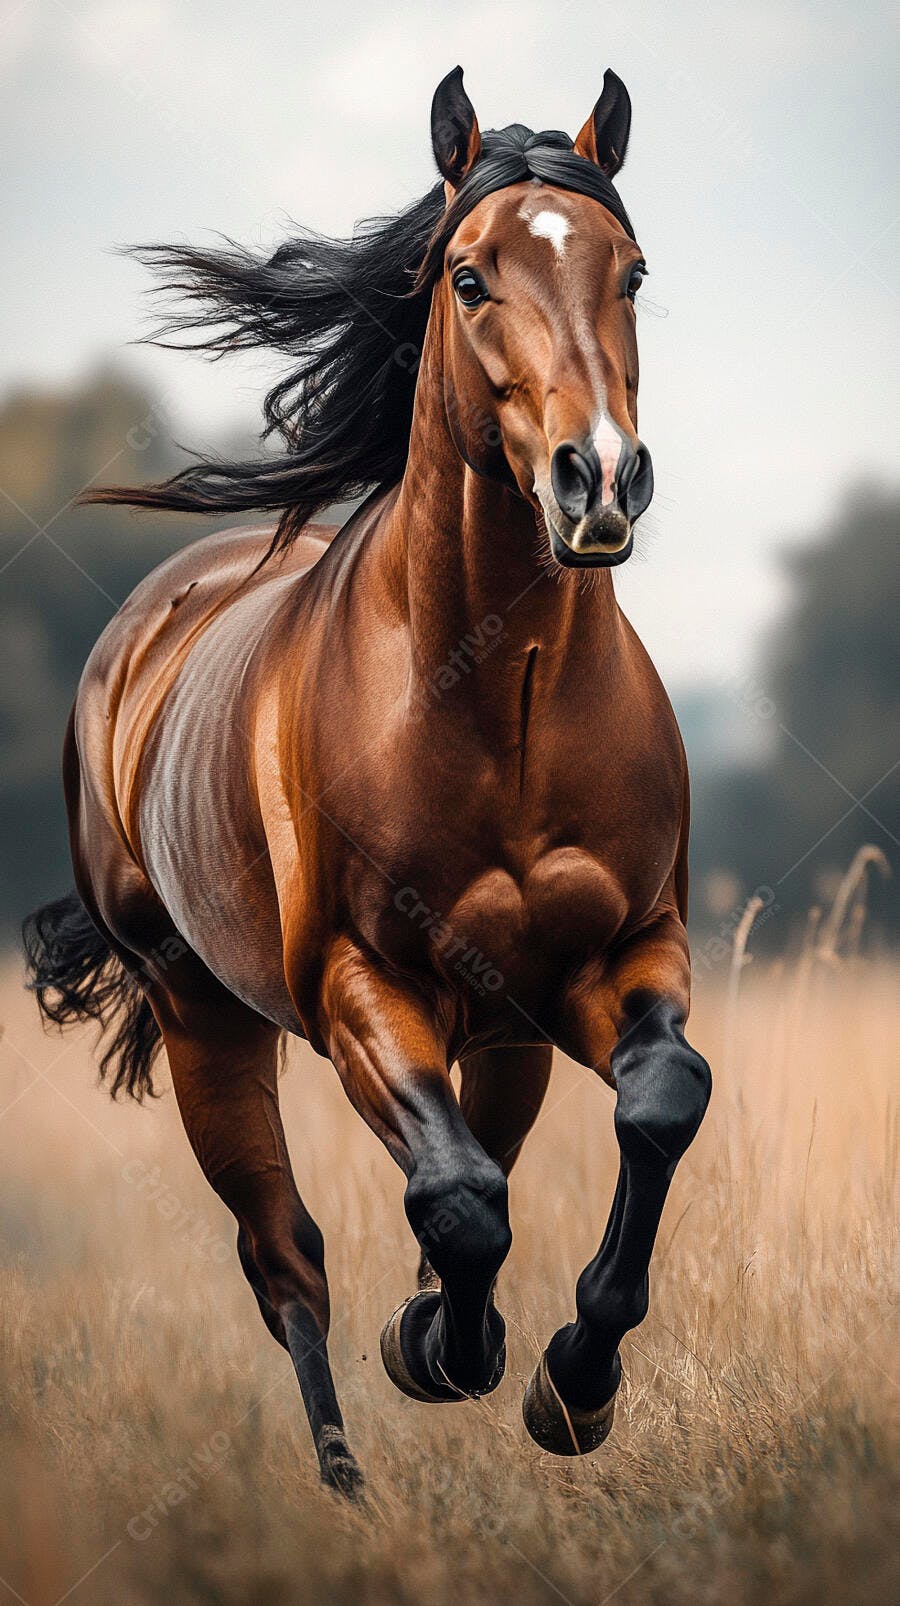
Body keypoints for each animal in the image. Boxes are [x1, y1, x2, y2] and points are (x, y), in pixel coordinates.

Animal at [24, 66, 711, 1496]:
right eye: (467, 274)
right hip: (202, 1011)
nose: (599, 478)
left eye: (631, 270)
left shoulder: (624, 949)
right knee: (285, 1256)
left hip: (505, 1026)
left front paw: (573, 1383)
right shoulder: (362, 983)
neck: (500, 692)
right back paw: (350, 1484)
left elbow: (658, 1104)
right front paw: (445, 1349)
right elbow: (456, 1200)